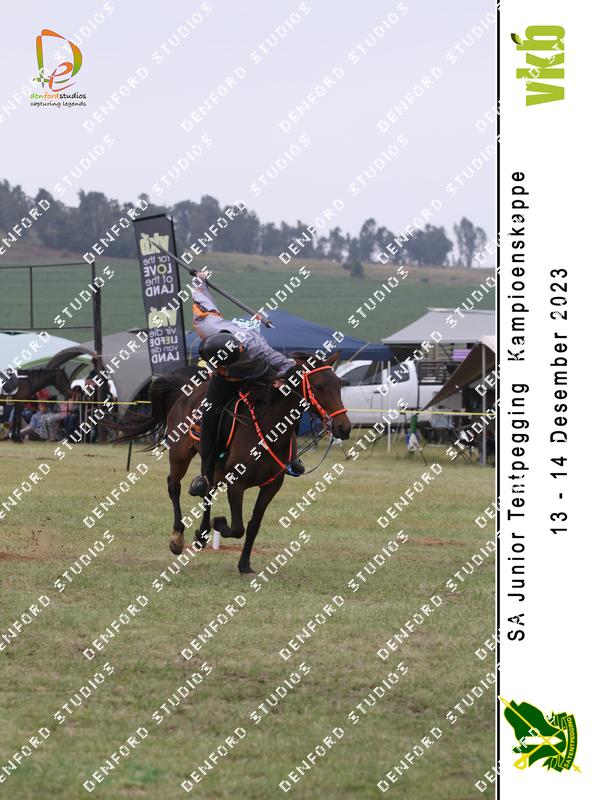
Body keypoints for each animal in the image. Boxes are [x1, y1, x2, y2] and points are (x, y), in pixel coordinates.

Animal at [120, 352, 351, 574]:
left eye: (339, 383)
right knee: (174, 486)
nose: (344, 427)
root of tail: (183, 391)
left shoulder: (271, 486)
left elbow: (253, 525)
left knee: (207, 490)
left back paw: (202, 534)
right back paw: (178, 537)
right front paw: (219, 523)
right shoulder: (236, 484)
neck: (268, 429)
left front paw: (244, 565)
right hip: (180, 455)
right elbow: (238, 527)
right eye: (319, 386)